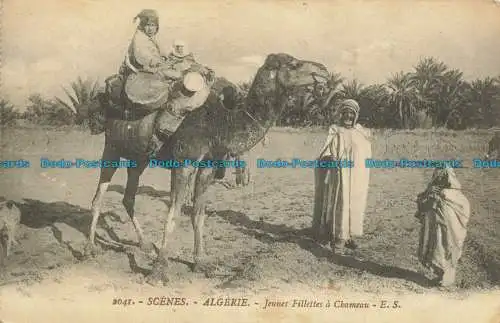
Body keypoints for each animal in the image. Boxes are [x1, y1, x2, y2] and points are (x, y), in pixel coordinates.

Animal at [85, 52, 332, 284]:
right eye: (294, 64)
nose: (323, 70)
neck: (220, 123)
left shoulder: (208, 165)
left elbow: (198, 212)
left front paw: (201, 262)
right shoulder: (184, 162)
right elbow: (173, 214)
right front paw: (159, 272)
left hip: (140, 157)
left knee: (128, 197)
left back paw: (145, 245)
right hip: (112, 147)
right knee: (98, 196)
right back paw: (90, 249)